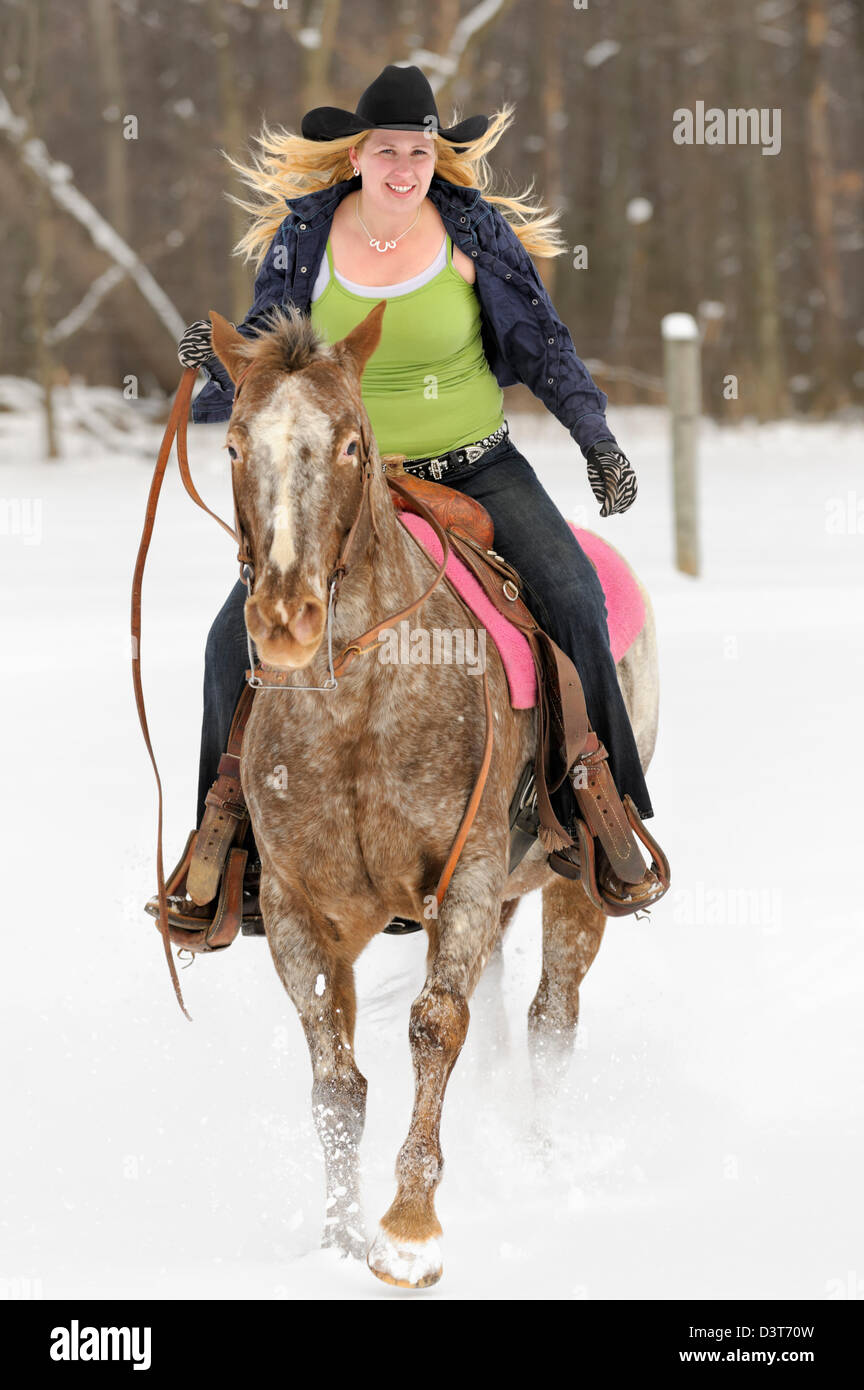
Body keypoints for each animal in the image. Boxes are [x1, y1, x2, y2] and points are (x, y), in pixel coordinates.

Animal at [209, 304, 663, 1289]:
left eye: (349, 443)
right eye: (231, 443)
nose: (288, 619)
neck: (356, 709)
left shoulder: (467, 875)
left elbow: (434, 1026)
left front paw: (409, 1231)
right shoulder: (300, 910)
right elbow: (336, 1083)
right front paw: (340, 1239)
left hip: (575, 882)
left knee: (549, 1019)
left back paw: (539, 1158)